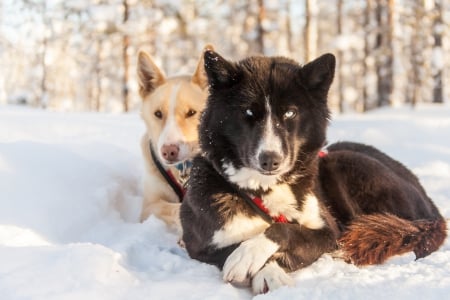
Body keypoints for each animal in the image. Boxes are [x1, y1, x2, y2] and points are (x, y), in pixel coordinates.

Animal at [136, 45, 212, 232]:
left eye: (191, 112)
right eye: (158, 114)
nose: (168, 151)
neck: (183, 169)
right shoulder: (148, 206)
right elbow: (174, 208)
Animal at [179, 51, 446, 292]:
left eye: (290, 113)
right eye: (248, 113)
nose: (270, 160)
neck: (264, 189)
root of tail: (432, 208)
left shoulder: (329, 232)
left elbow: (286, 231)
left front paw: (254, 259)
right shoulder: (200, 246)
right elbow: (232, 247)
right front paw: (264, 270)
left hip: (342, 162)